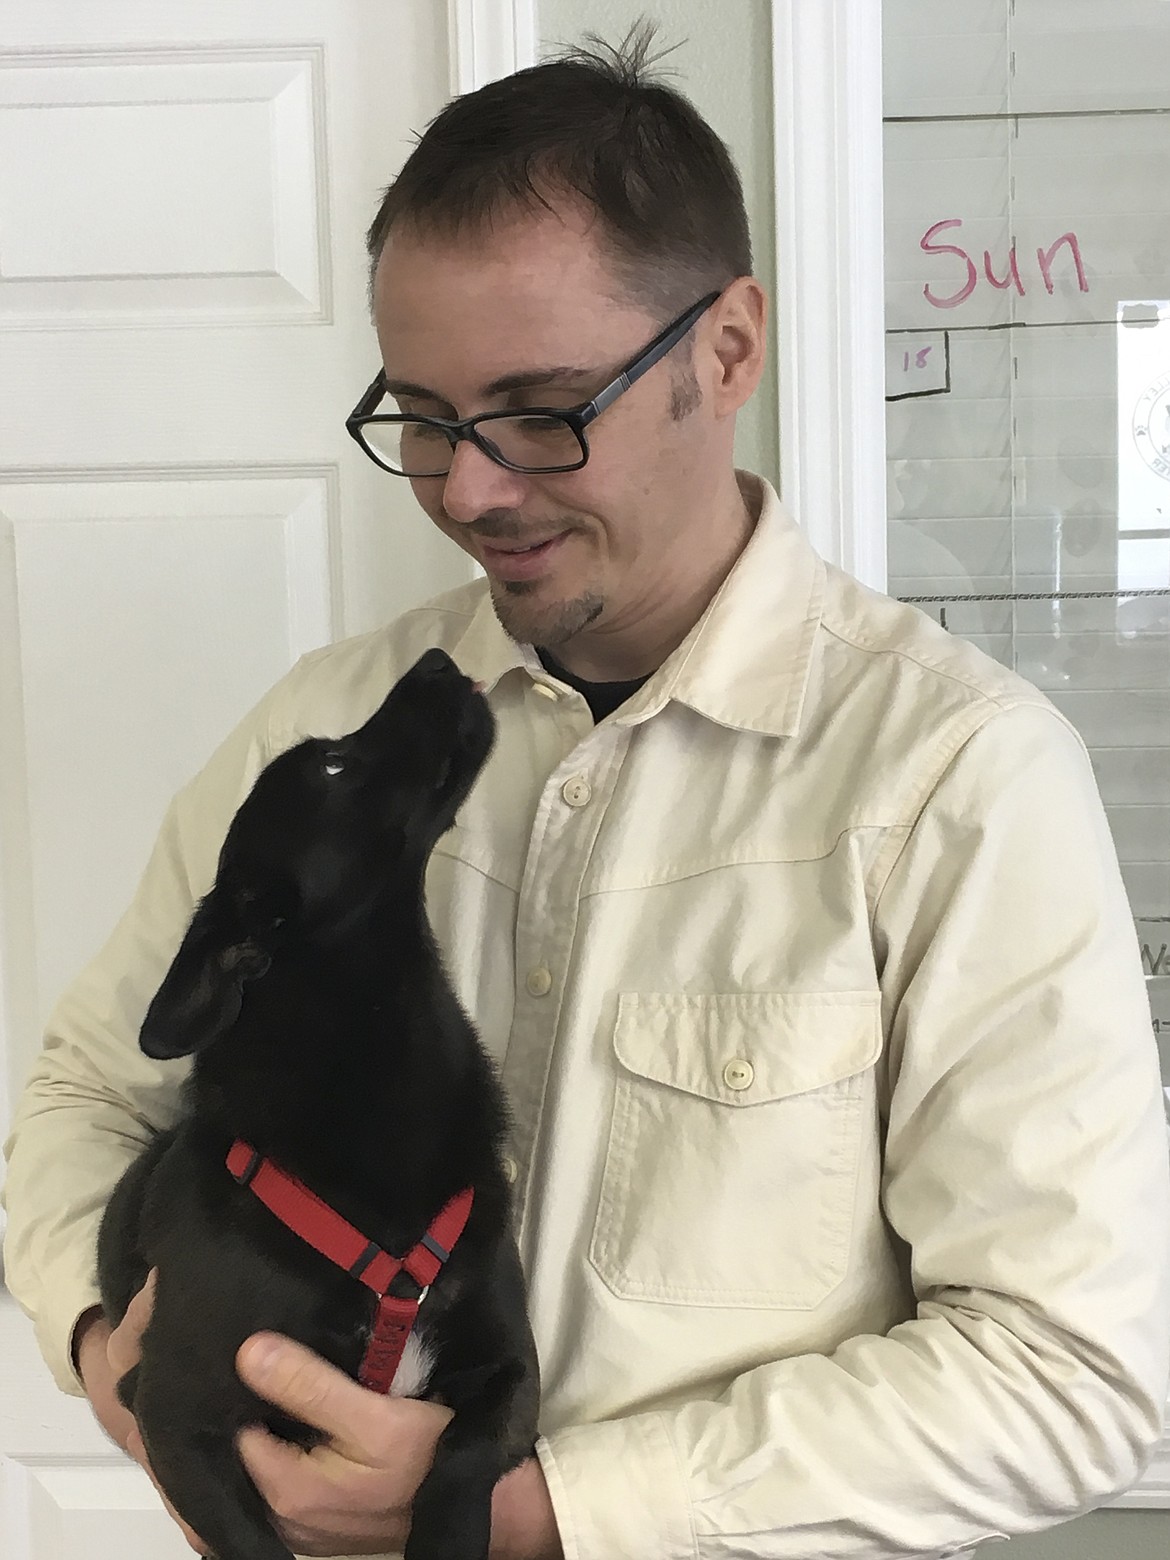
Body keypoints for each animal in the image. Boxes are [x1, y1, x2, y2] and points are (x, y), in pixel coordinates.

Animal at [98, 645, 542, 1560]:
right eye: (334, 763)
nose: (439, 659)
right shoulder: (171, 1412)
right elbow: (257, 1546)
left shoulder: (513, 1372)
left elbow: (460, 1461)